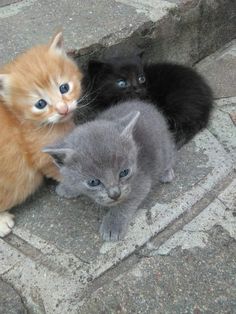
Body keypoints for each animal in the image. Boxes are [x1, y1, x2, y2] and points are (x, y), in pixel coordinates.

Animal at [44, 100, 175, 240]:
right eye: (93, 182)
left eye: (124, 172)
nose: (115, 194)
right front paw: (68, 187)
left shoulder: (141, 179)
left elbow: (126, 201)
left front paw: (113, 225)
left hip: (165, 146)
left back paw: (166, 173)